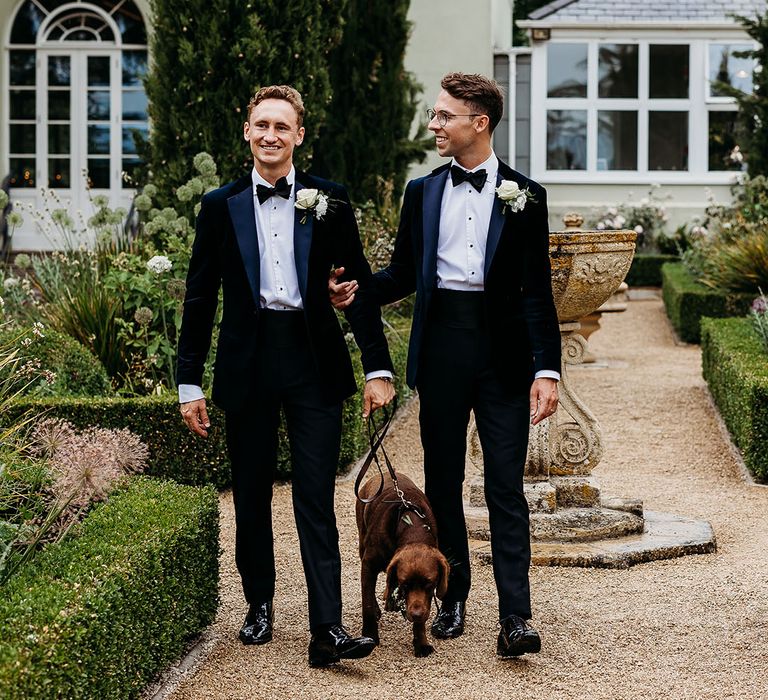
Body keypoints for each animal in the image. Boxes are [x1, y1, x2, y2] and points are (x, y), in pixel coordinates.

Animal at [356, 470, 450, 656]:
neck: (411, 528)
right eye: (405, 584)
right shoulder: (368, 564)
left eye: (430, 584)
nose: (416, 614)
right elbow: (367, 602)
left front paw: (421, 643)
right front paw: (370, 636)